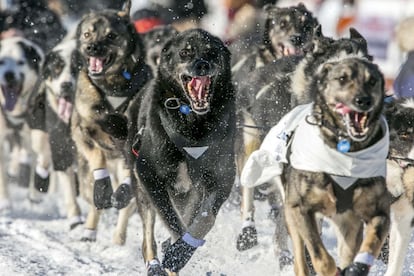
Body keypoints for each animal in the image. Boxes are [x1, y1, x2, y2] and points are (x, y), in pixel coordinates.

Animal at [70, 1, 153, 244]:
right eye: (87, 34)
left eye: (111, 36)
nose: (92, 48)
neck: (113, 84)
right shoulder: (82, 131)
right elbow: (97, 156)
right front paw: (103, 186)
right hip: (84, 180)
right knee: (94, 204)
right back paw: (89, 231)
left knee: (126, 205)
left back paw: (118, 239)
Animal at [126, 28, 236, 276]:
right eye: (185, 52)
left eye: (211, 52)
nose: (202, 65)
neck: (193, 124)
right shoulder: (149, 174)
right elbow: (173, 222)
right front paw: (176, 253)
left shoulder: (221, 178)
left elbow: (204, 219)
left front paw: (182, 251)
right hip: (141, 185)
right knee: (148, 235)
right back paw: (155, 265)